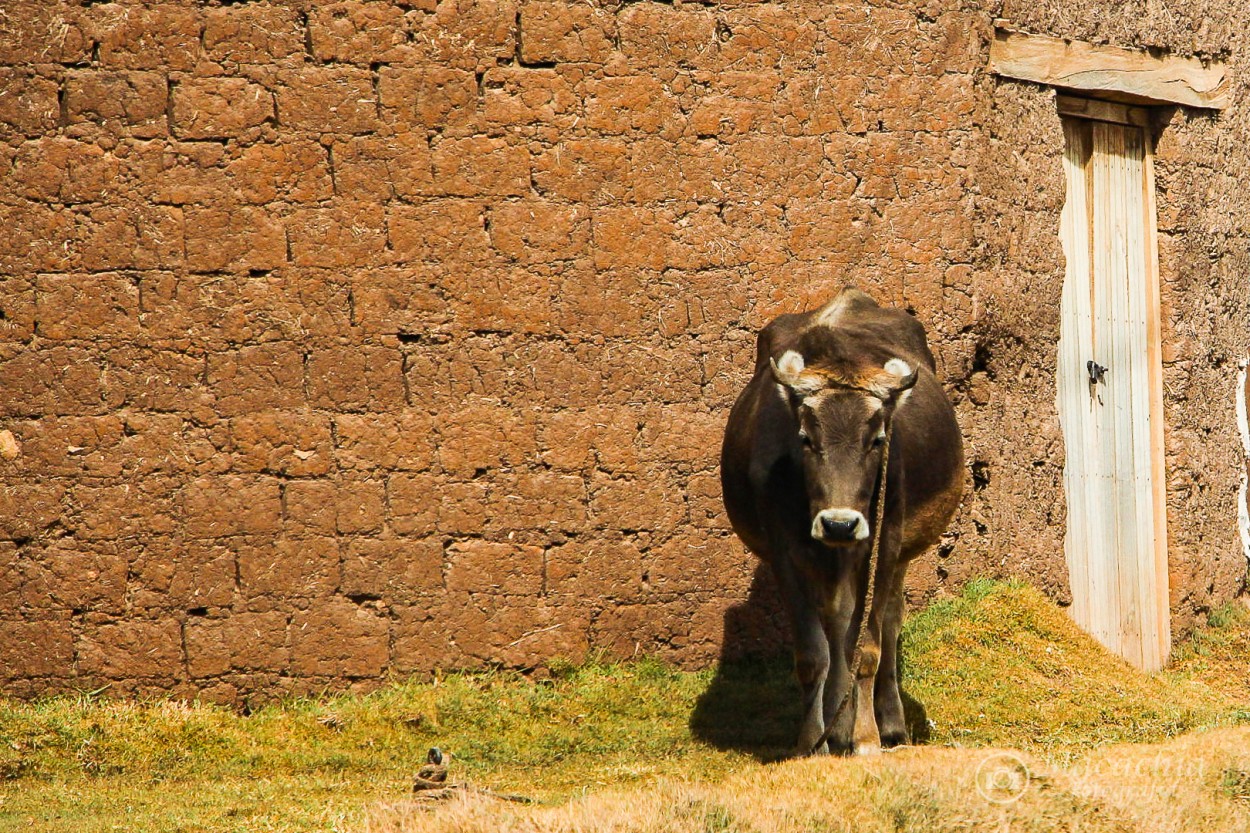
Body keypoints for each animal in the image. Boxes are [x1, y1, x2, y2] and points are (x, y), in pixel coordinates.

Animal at [720, 288, 960, 755]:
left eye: (878, 439)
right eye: (805, 439)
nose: (839, 525)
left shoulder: (884, 544)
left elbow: (867, 649)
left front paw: (866, 738)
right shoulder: (785, 553)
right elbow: (814, 655)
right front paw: (812, 742)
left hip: (894, 556)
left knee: (886, 623)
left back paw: (887, 726)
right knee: (836, 628)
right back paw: (836, 724)